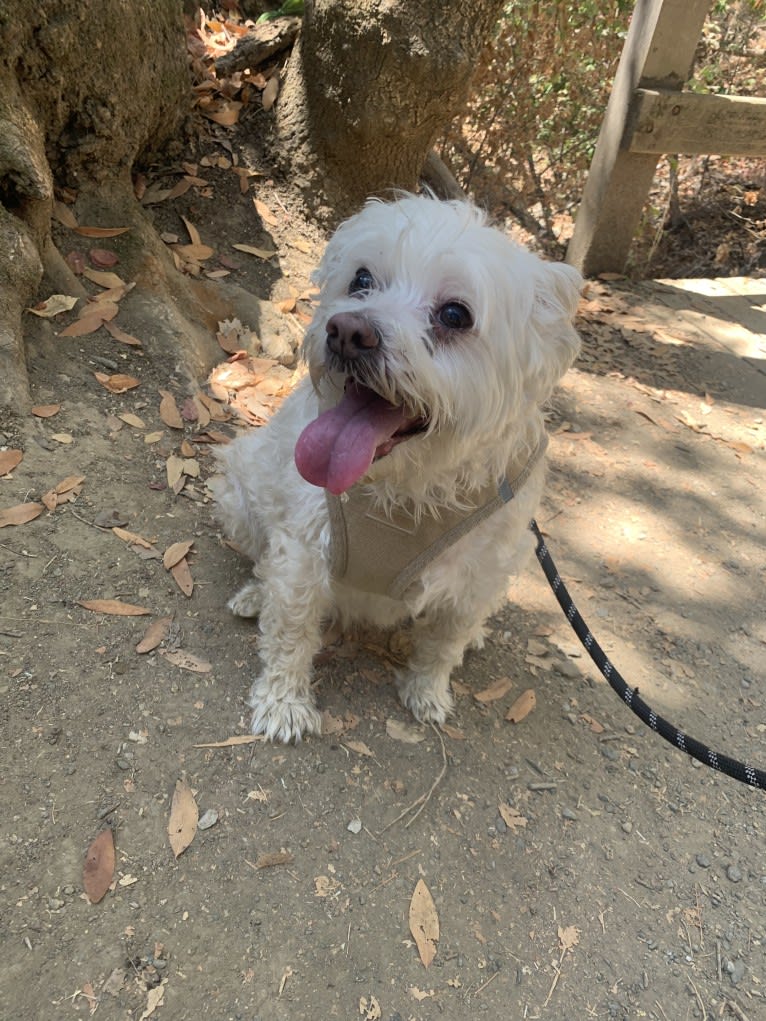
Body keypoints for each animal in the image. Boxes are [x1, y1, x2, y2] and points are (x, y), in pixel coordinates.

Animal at [211, 195, 580, 743]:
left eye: (455, 314)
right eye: (361, 279)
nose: (346, 331)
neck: (406, 489)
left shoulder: (480, 574)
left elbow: (444, 643)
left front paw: (428, 691)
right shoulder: (303, 550)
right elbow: (291, 629)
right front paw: (283, 702)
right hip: (240, 491)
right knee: (262, 560)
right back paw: (256, 593)